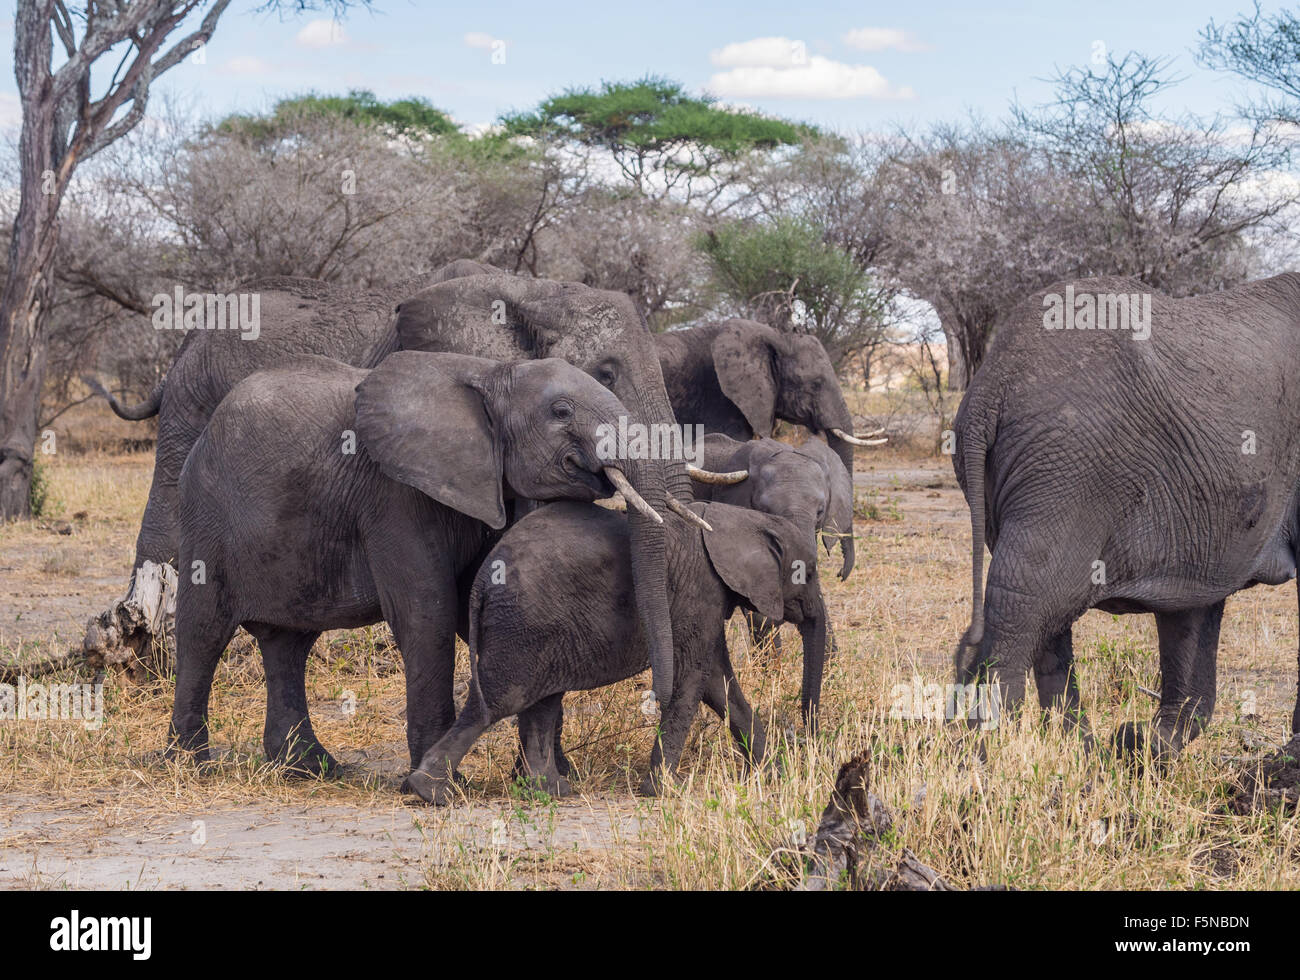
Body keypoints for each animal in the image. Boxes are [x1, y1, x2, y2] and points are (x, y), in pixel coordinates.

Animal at [170, 348, 660, 774]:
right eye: (561, 411)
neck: (489, 371)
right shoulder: (396, 493)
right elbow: (428, 612)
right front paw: (444, 780)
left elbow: (474, 605)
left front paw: (548, 776)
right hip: (205, 517)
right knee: (203, 632)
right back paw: (189, 766)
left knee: (288, 645)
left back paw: (310, 769)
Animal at [951, 272, 1300, 753]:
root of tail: (990, 387)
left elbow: (1192, 610)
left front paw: (1148, 742)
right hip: (1066, 470)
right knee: (1025, 599)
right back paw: (995, 750)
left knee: (1045, 614)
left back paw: (1077, 750)